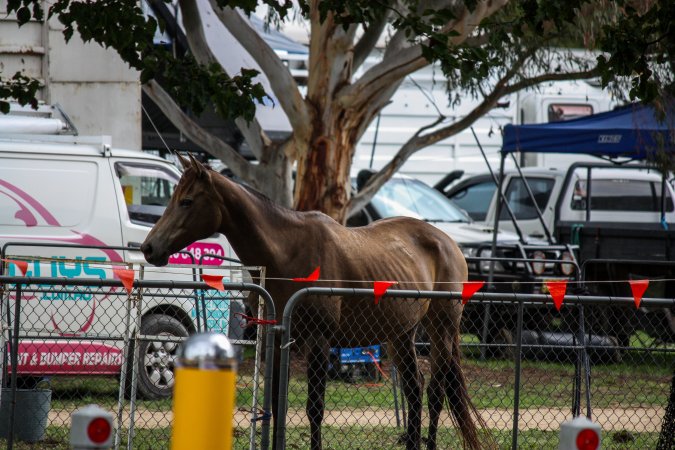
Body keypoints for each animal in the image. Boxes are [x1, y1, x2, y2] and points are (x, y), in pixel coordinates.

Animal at [141, 153, 486, 450]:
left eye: (186, 201)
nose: (149, 248)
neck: (286, 252)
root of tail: (448, 243)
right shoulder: (279, 338)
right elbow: (276, 405)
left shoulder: (318, 340)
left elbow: (314, 409)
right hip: (400, 334)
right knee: (414, 390)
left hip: (441, 330)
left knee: (435, 393)